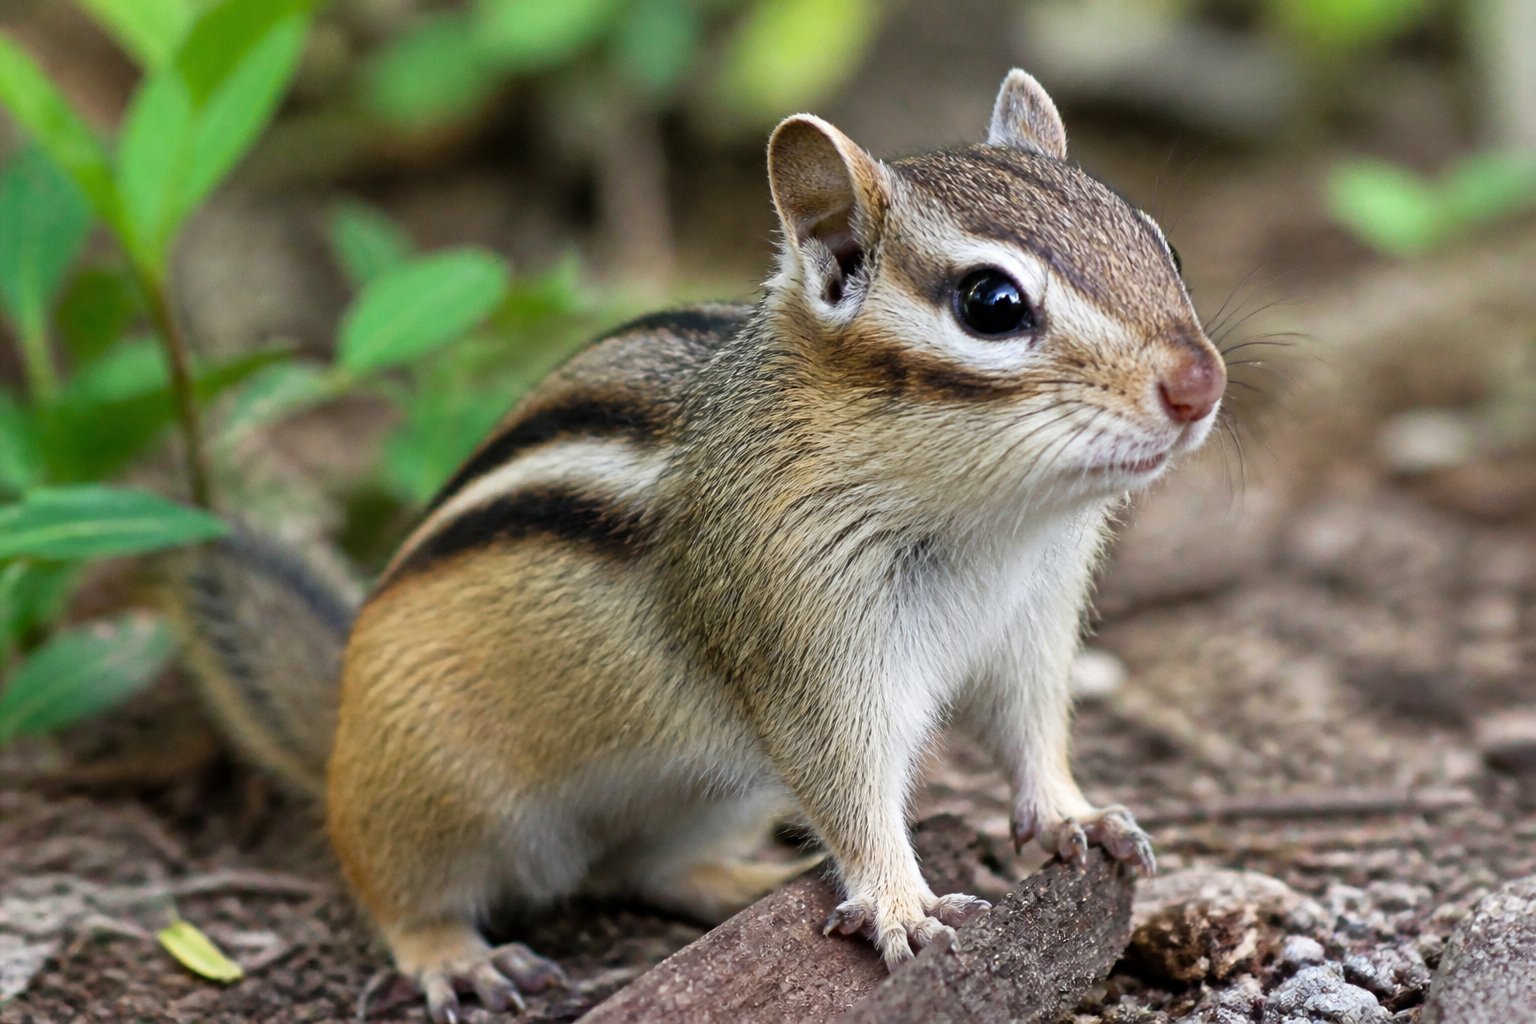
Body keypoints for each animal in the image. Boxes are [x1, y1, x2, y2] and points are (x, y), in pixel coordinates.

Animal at [174, 69, 1225, 1022]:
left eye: (1163, 243)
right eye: (991, 303)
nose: (1200, 383)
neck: (994, 519)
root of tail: (339, 725)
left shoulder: (1034, 618)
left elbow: (1032, 727)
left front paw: (1075, 816)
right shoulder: (803, 637)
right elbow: (849, 783)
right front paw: (900, 903)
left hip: (714, 795)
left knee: (642, 869)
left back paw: (742, 882)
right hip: (432, 795)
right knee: (398, 891)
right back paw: (457, 959)